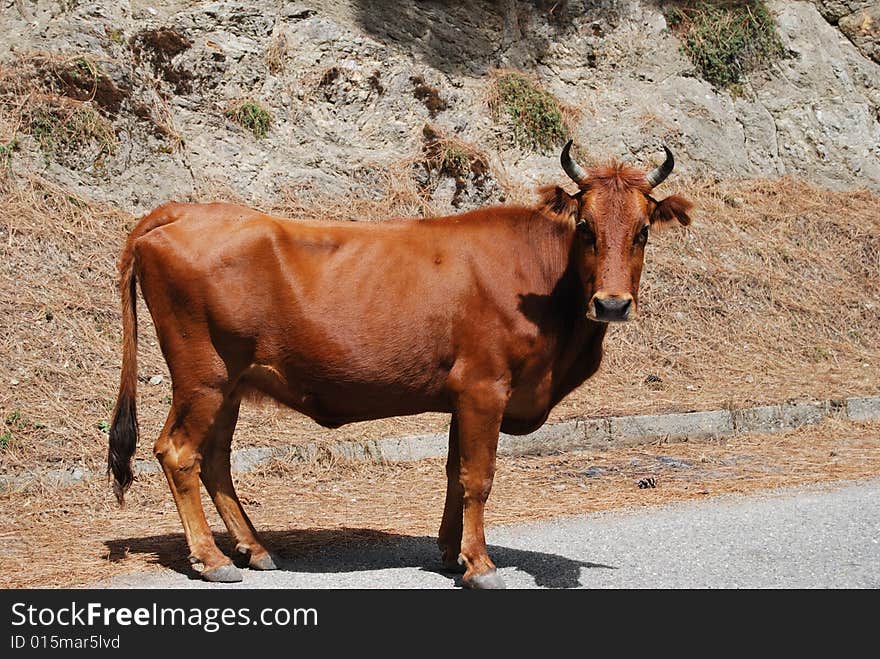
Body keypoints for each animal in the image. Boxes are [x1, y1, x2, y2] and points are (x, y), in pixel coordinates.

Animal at [106, 143, 692, 588]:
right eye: (587, 228)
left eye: (642, 230)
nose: (612, 304)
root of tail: (182, 210)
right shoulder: (484, 387)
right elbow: (478, 476)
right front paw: (480, 565)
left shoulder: (463, 395)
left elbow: (455, 472)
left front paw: (452, 554)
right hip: (202, 375)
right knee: (178, 453)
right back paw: (212, 560)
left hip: (231, 382)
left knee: (215, 461)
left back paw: (254, 548)